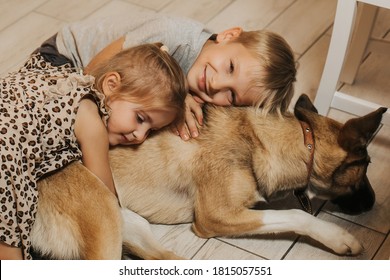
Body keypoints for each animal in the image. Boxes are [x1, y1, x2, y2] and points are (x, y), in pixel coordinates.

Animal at [31, 95, 386, 260]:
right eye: (367, 164)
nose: (373, 204)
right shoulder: (215, 216)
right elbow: (297, 215)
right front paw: (339, 236)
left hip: (130, 222)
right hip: (104, 216)